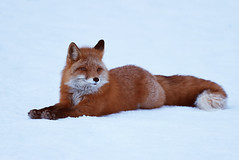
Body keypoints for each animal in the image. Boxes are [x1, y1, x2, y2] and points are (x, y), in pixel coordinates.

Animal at [27, 40, 226, 120]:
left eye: (98, 69)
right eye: (84, 69)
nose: (96, 79)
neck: (78, 93)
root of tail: (149, 73)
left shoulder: (87, 110)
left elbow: (65, 113)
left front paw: (50, 115)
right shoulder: (65, 101)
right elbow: (52, 106)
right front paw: (38, 112)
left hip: (150, 102)